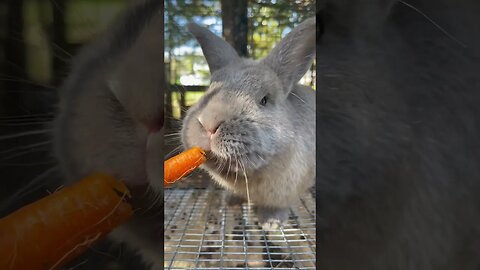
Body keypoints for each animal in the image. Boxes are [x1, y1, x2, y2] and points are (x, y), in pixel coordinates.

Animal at [182, 17, 316, 229]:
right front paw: (231, 202)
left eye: (264, 100)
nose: (209, 124)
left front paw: (272, 222)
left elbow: (277, 206)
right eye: (209, 89)